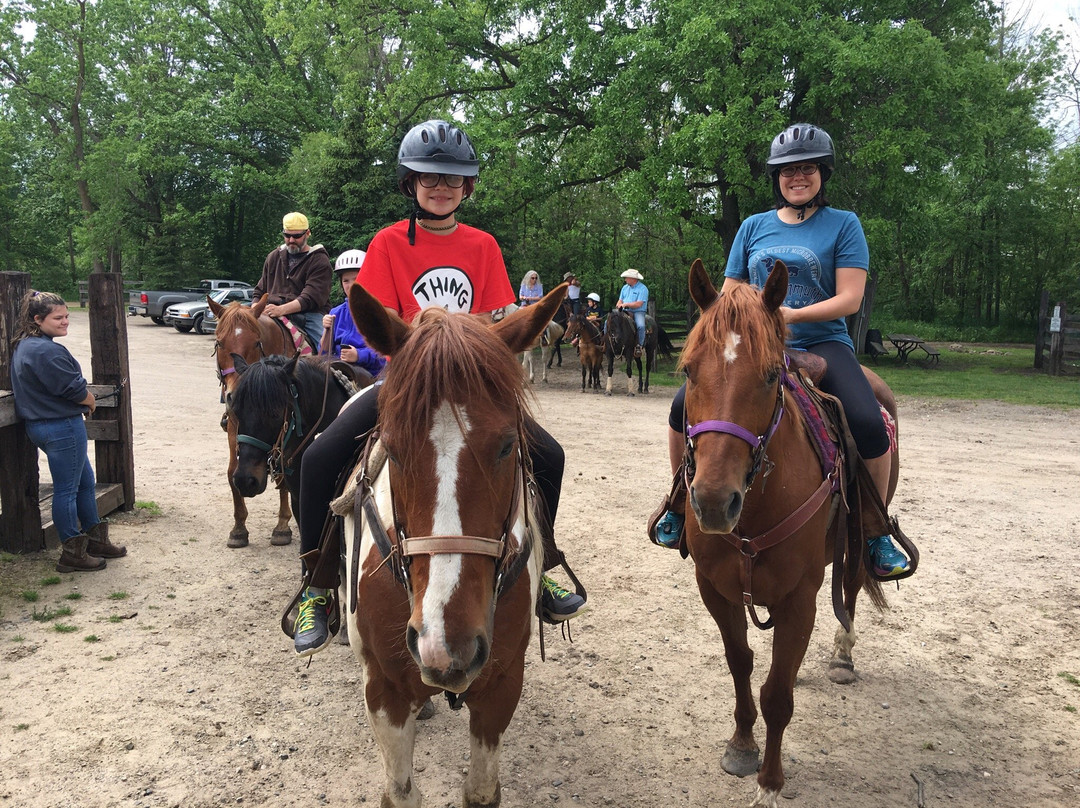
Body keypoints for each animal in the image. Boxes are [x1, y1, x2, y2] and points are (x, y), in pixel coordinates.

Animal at [209, 295, 298, 548]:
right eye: (220, 343)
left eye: (257, 343)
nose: (234, 394)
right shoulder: (236, 427)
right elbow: (232, 471)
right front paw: (239, 528)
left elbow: (283, 471)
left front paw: (282, 526)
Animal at [339, 283, 565, 808]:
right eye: (393, 449)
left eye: (507, 445)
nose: (447, 646)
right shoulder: (383, 692)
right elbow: (401, 792)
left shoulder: (502, 686)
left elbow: (481, 792)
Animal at [678, 260, 889, 808]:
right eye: (687, 370)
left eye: (772, 374)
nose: (713, 501)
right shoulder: (715, 589)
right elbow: (741, 664)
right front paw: (741, 746)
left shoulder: (800, 597)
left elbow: (776, 695)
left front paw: (770, 782)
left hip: (855, 545)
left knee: (850, 590)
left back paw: (842, 655)